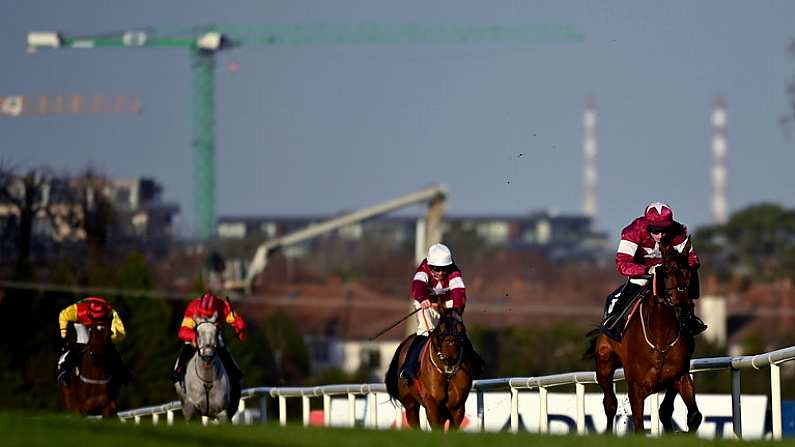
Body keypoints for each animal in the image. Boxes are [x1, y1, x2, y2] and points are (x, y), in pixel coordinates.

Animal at [584, 240, 704, 436]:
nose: (685, 311)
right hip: (604, 364)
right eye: (666, 272)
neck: (661, 338)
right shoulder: (636, 387)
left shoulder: (679, 376)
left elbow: (691, 415)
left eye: (690, 272)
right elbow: (639, 426)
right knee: (610, 404)